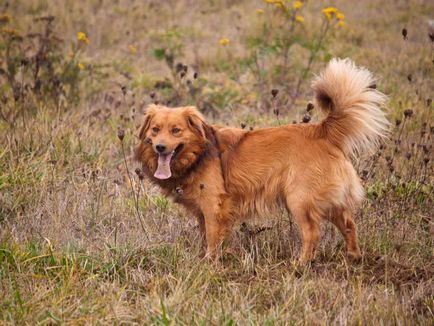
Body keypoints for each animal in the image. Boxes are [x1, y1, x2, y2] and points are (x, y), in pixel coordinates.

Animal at [134, 58, 388, 262]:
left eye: (176, 131)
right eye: (155, 129)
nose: (160, 147)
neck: (197, 154)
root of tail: (322, 131)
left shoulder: (213, 205)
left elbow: (213, 237)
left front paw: (209, 261)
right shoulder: (204, 212)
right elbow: (208, 234)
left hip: (300, 199)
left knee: (312, 233)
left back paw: (301, 263)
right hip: (327, 199)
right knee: (349, 224)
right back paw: (354, 256)